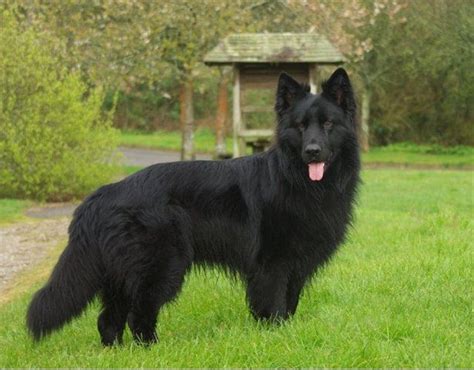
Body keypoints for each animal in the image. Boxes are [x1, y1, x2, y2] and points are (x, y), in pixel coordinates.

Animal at [26, 68, 360, 346]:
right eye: (300, 126)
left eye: (328, 124)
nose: (312, 151)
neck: (298, 181)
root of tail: (104, 193)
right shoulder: (272, 265)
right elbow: (274, 307)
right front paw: (275, 337)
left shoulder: (297, 266)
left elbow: (289, 305)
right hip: (161, 267)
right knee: (138, 315)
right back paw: (151, 349)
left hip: (121, 275)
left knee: (109, 320)